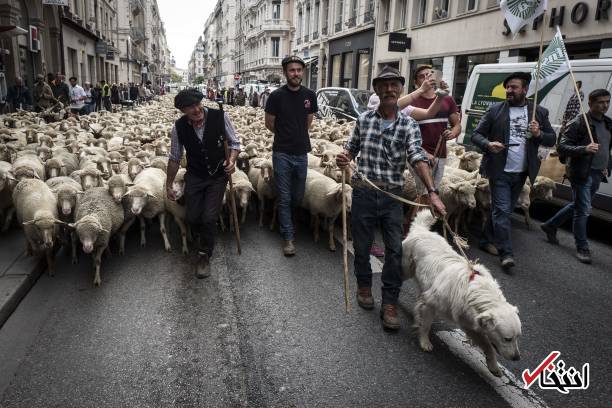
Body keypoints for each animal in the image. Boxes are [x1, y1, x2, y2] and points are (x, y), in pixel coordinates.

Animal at [402, 210, 520, 376]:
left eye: (517, 337)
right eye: (507, 339)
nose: (517, 358)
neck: (473, 292)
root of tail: (421, 230)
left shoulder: (470, 324)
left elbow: (488, 346)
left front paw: (494, 366)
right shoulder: (431, 303)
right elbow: (425, 324)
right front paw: (424, 341)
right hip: (405, 269)